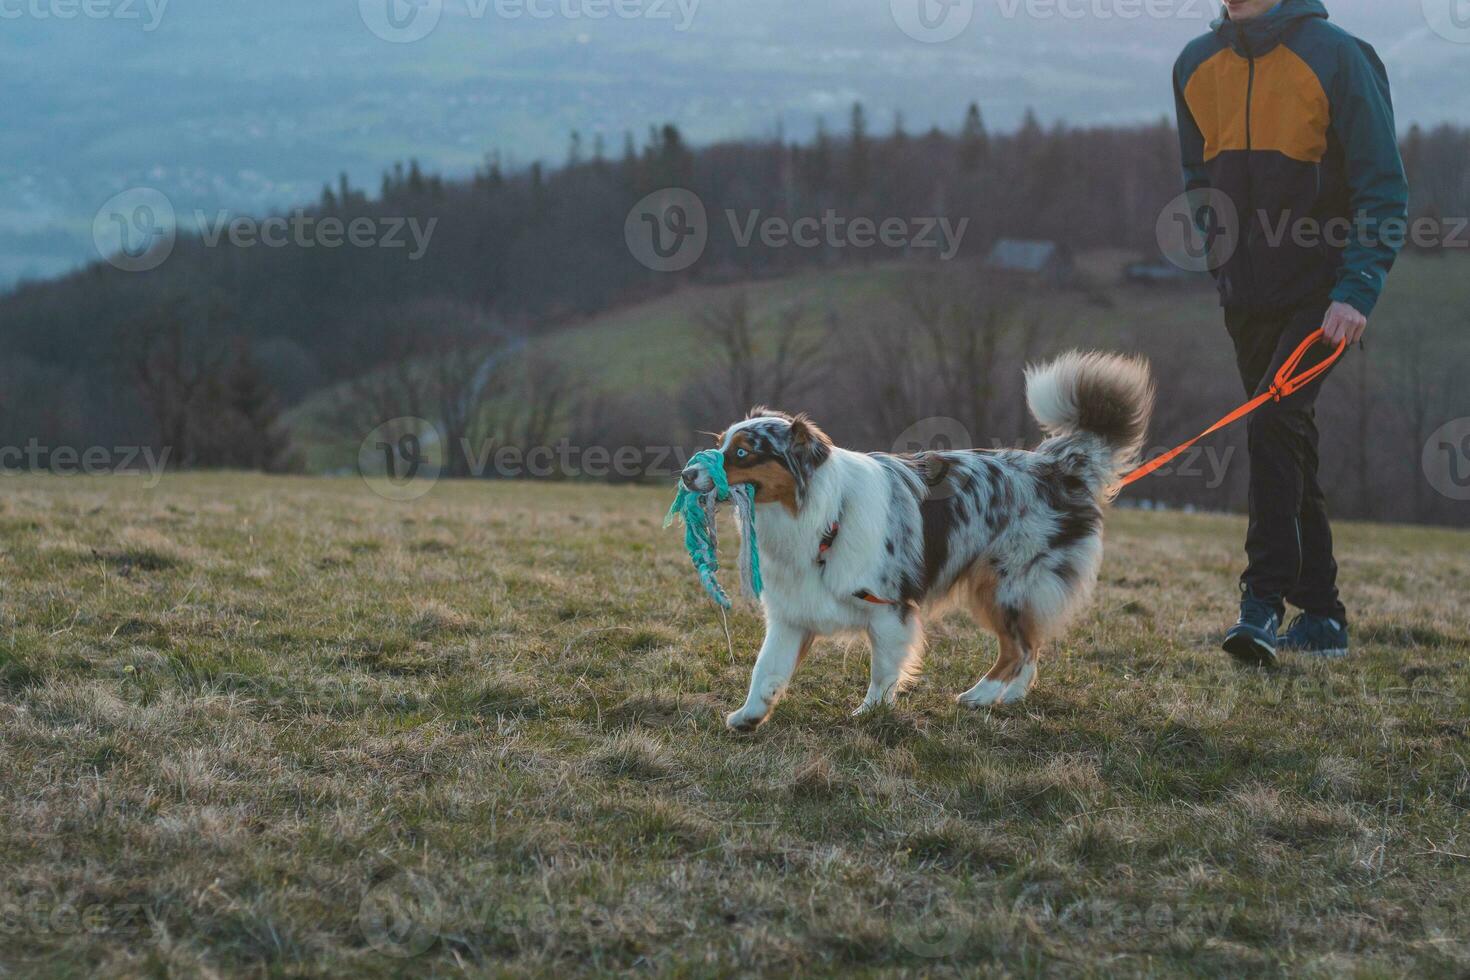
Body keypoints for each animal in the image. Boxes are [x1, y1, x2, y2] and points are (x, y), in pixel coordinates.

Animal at [682, 351, 1152, 728]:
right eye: (721, 443)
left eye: (743, 452)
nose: (686, 474)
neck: (819, 514)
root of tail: (1061, 468)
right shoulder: (792, 613)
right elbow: (766, 669)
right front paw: (749, 716)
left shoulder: (890, 609)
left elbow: (883, 670)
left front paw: (869, 713)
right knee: (1030, 649)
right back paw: (1010, 698)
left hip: (1006, 583)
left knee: (1018, 649)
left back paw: (979, 696)